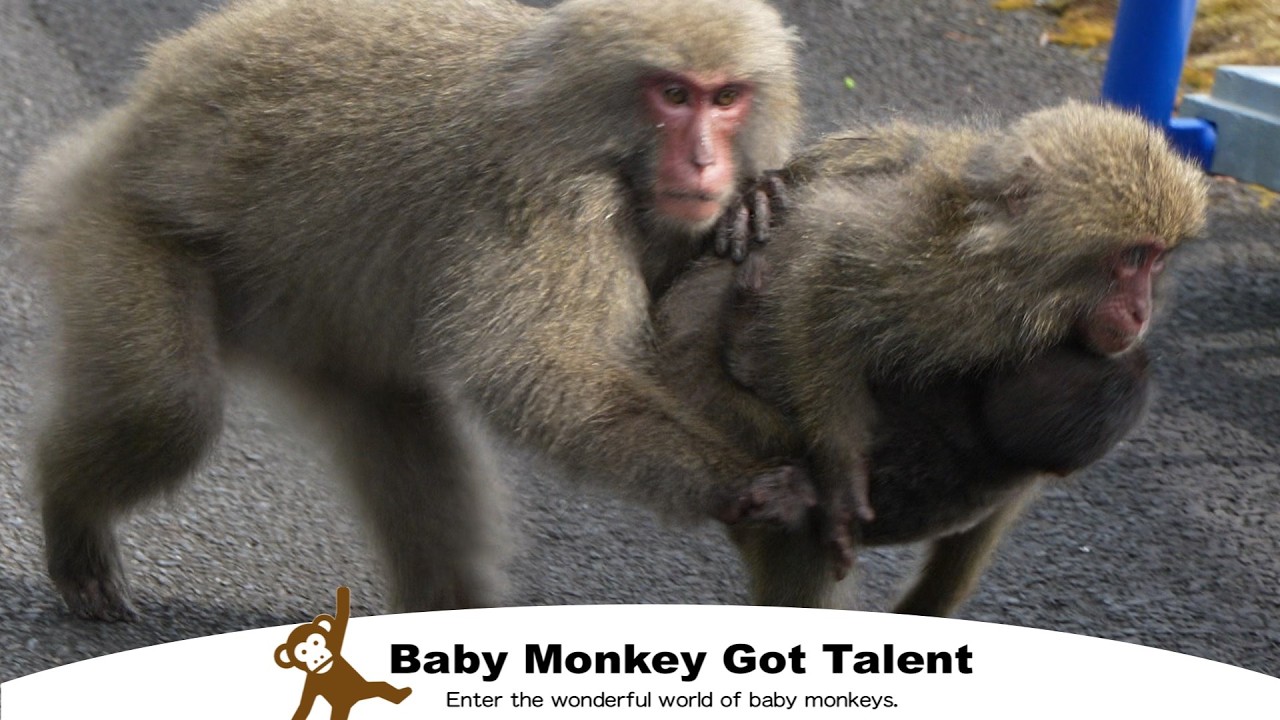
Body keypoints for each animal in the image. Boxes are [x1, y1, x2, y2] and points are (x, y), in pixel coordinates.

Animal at [14, 0, 811, 621]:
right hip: (116, 222)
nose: (705, 162)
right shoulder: (551, 202)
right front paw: (746, 484)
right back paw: (72, 520)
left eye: (726, 98)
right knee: (165, 407)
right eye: (674, 95)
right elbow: (531, 371)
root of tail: (121, 126)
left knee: (400, 425)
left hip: (320, 329)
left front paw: (751, 201)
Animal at [653, 100, 1207, 612]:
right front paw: (840, 474)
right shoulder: (954, 287)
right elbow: (825, 260)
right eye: (1131, 257)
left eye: (1157, 261)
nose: (1141, 311)